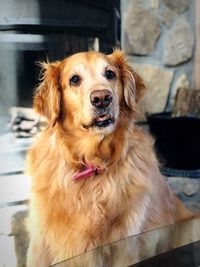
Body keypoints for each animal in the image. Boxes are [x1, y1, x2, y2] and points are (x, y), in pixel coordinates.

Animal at [25, 50, 195, 267]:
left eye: (110, 74)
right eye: (74, 80)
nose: (102, 98)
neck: (93, 163)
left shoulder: (124, 246)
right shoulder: (40, 245)